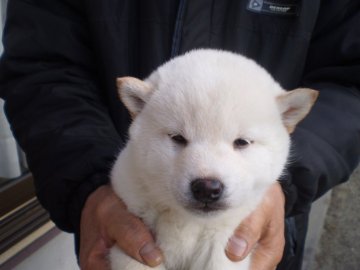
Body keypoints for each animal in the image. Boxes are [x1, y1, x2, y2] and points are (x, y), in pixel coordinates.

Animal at [110, 49, 318, 270]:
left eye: (242, 142)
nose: (207, 188)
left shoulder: (225, 244)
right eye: (178, 138)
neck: (190, 222)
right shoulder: (135, 236)